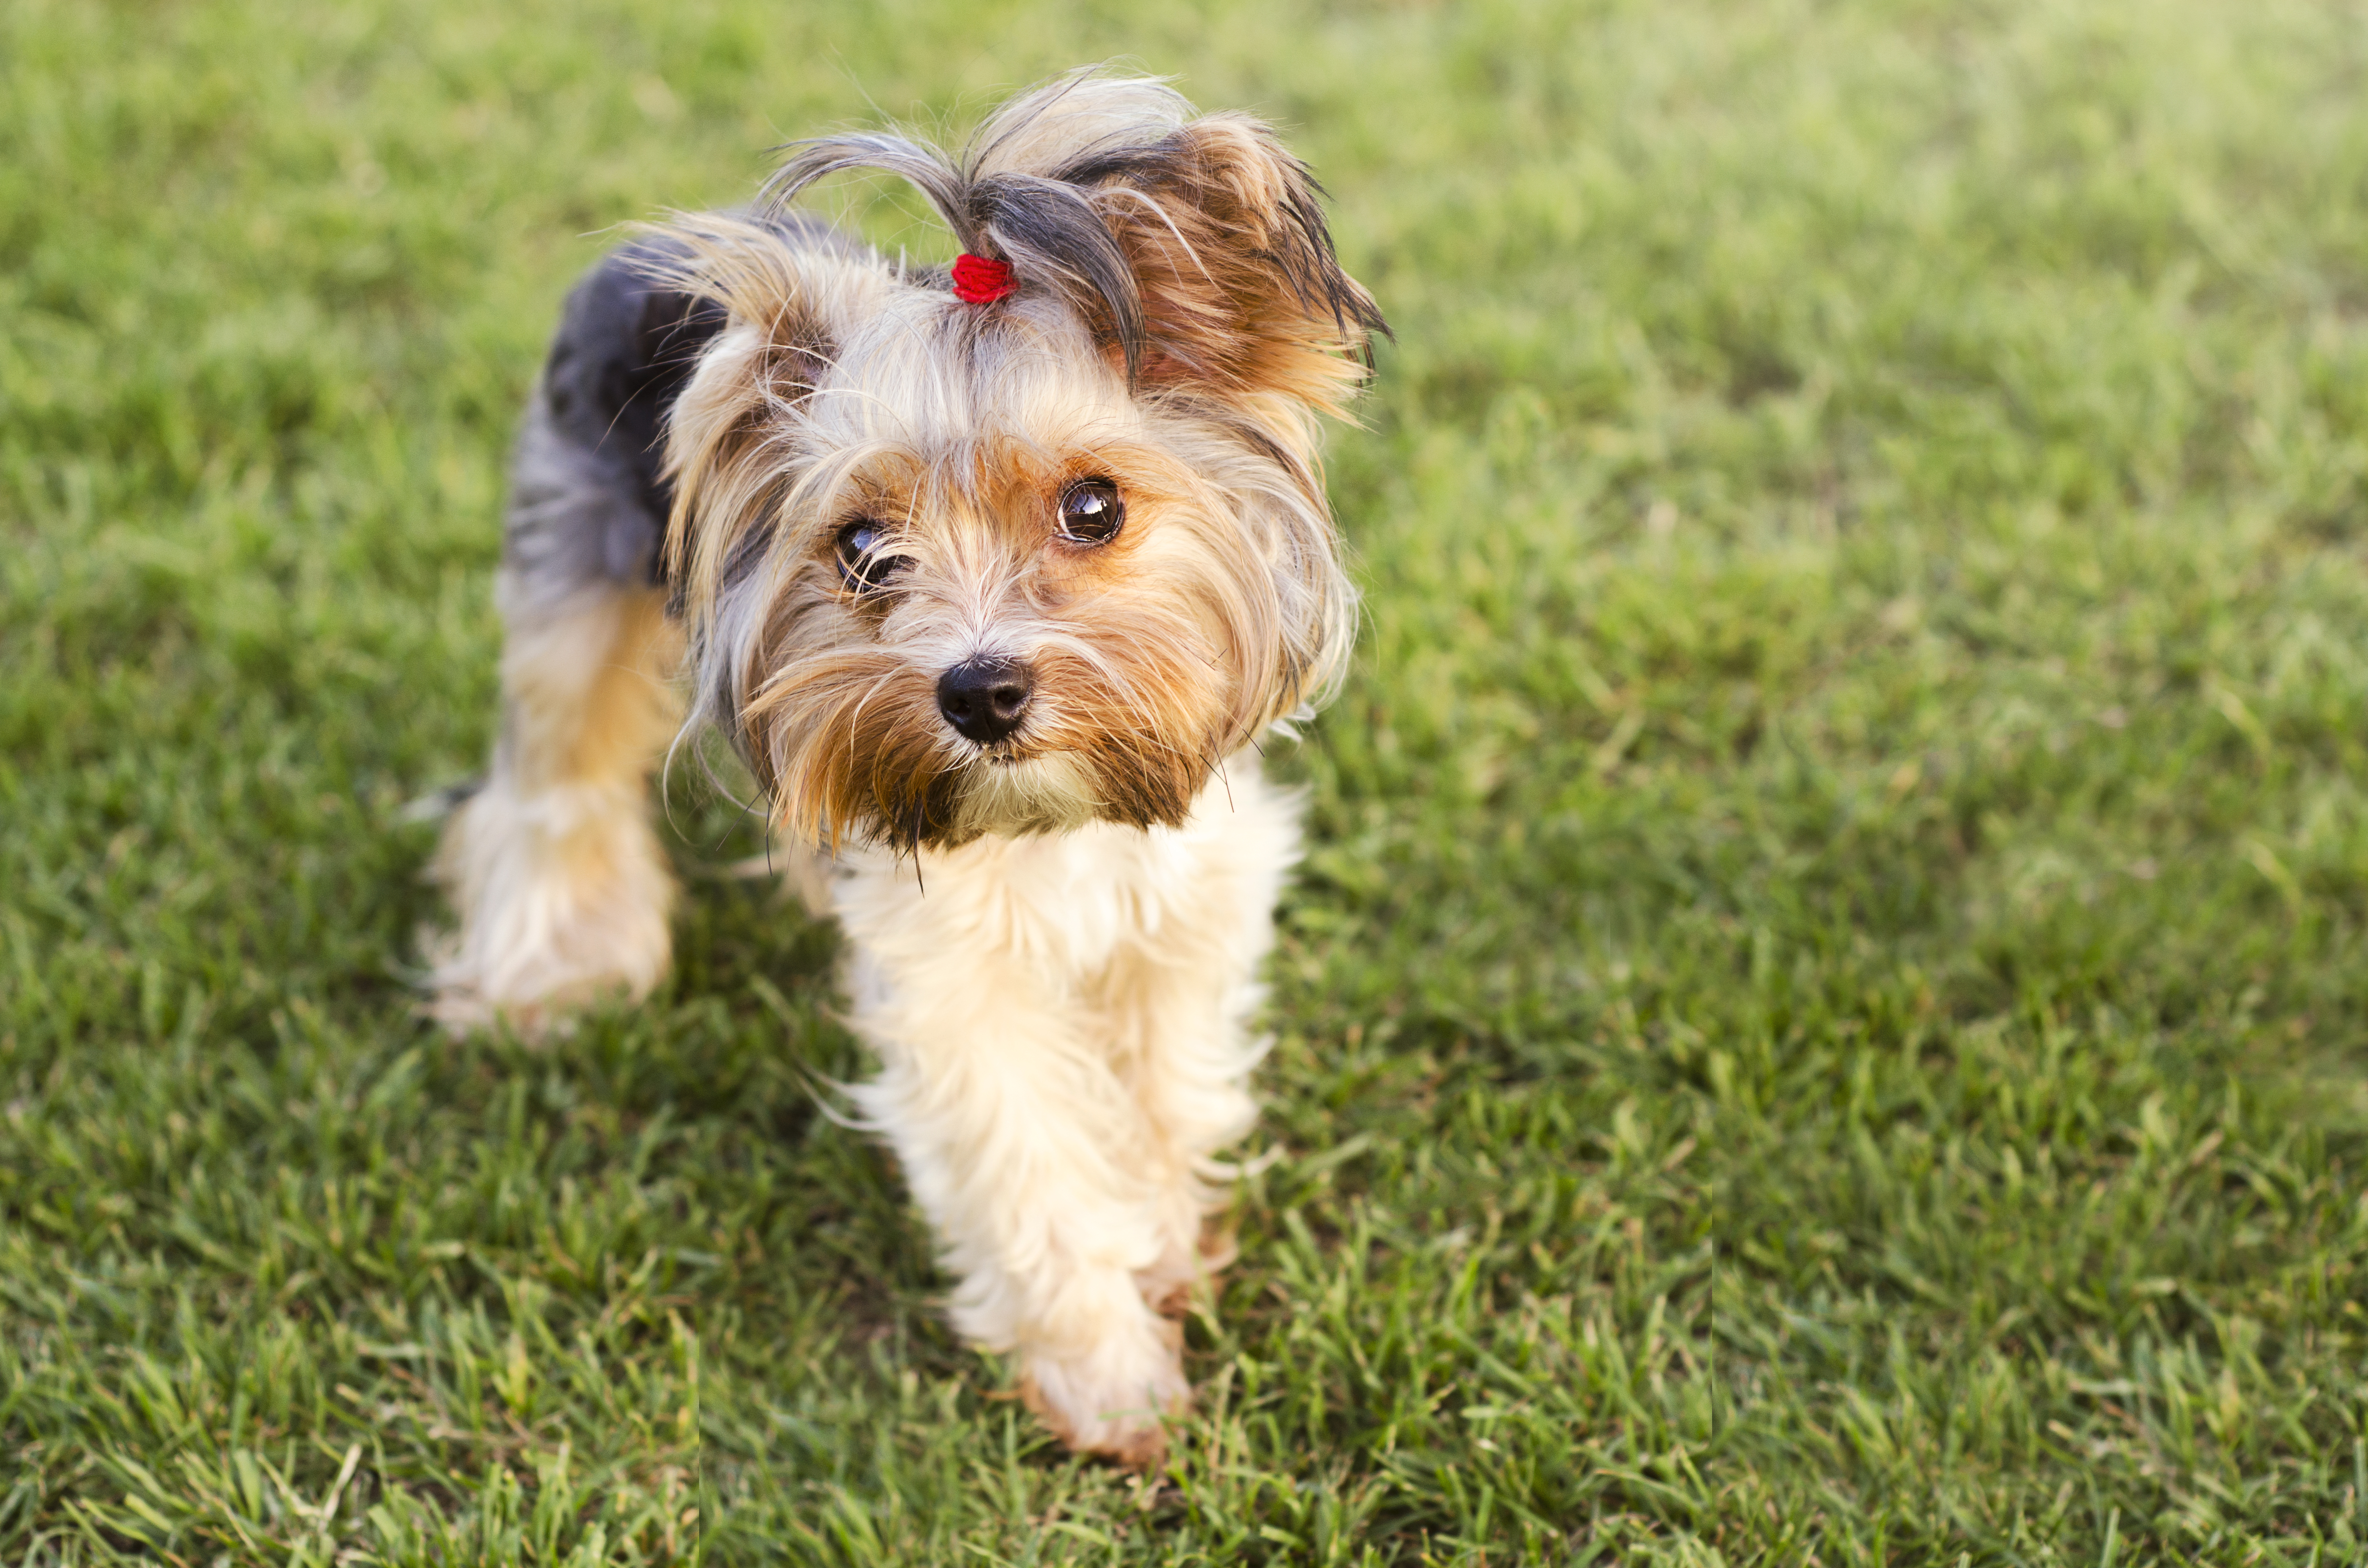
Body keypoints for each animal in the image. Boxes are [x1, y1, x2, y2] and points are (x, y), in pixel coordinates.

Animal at [428, 71, 1382, 1478]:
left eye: (1095, 507)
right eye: (863, 546)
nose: (979, 692)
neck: (1053, 816)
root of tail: (634, 255)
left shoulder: (1187, 897)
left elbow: (1165, 1088)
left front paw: (1161, 1248)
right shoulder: (948, 974)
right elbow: (1023, 1159)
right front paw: (1107, 1381)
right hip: (572, 563)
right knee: (556, 772)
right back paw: (555, 974)